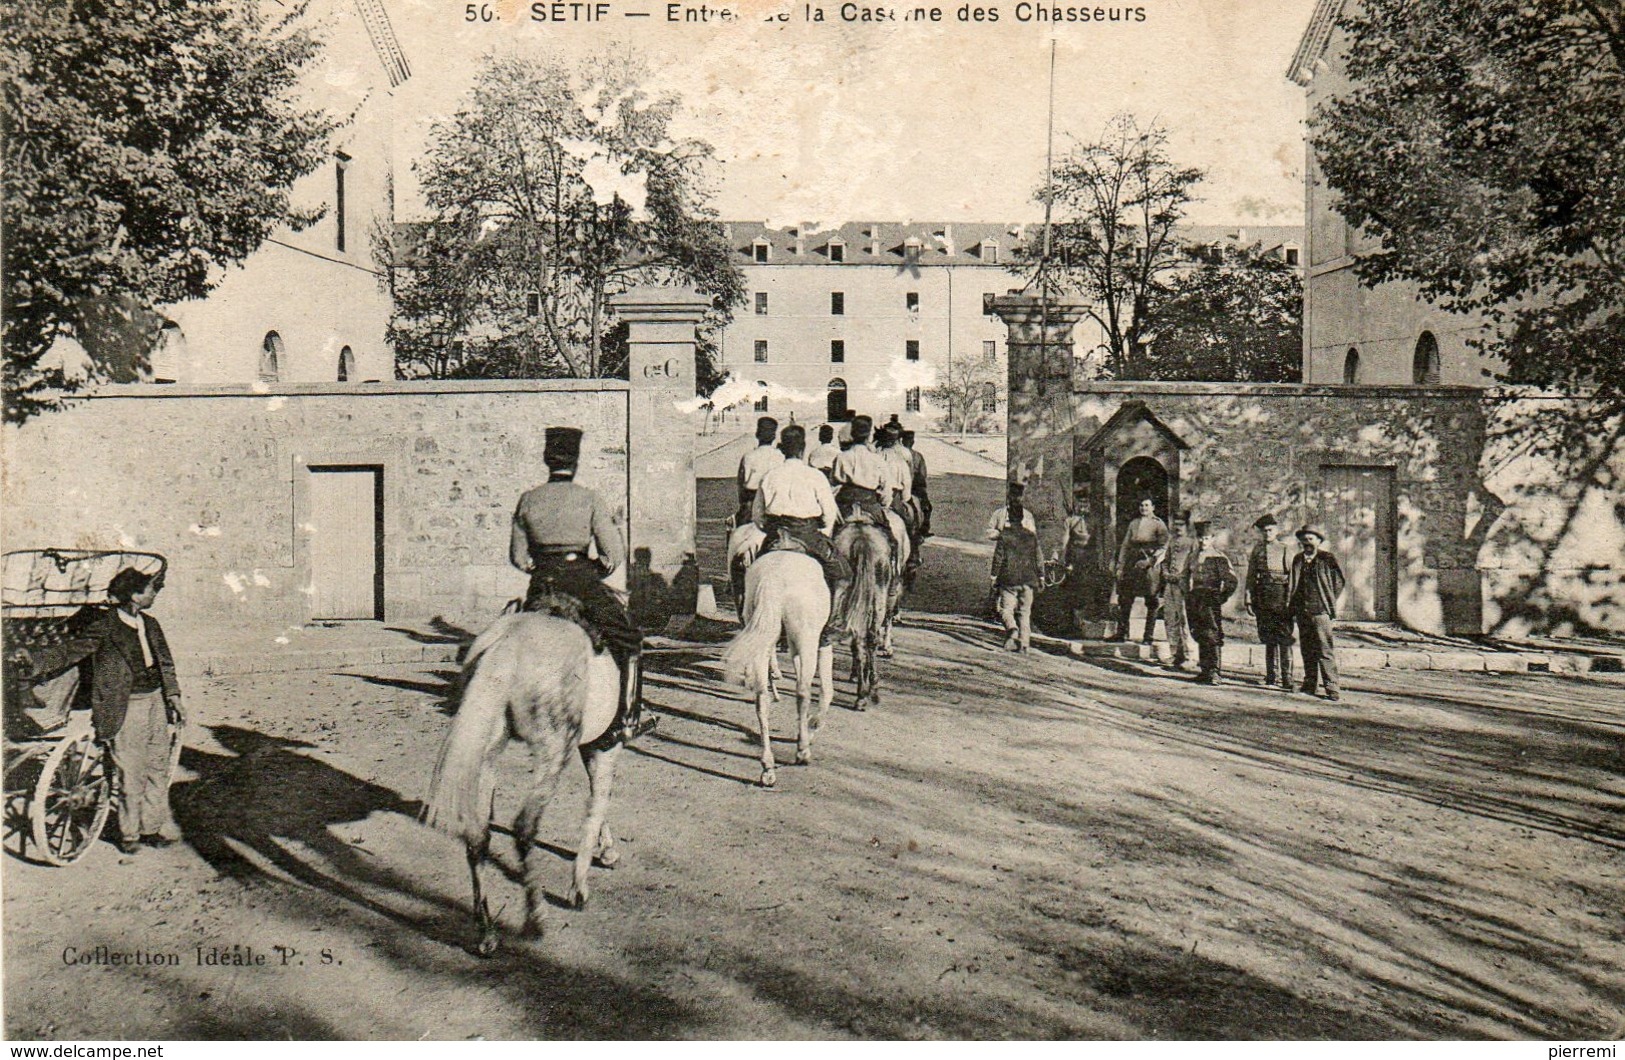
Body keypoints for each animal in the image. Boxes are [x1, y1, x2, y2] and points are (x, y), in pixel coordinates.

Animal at [419, 608, 620, 955]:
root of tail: (509, 644)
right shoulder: (606, 744)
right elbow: (597, 803)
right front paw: (580, 886)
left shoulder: (592, 745)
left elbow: (599, 800)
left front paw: (606, 850)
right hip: (554, 749)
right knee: (524, 827)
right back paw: (535, 918)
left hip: (489, 748)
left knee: (478, 836)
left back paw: (487, 931)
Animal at [718, 549, 832, 783]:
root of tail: (773, 577)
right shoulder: (823, 642)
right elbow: (827, 691)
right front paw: (813, 727)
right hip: (807, 639)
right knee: (803, 693)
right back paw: (802, 751)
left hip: (762, 638)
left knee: (762, 701)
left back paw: (767, 767)